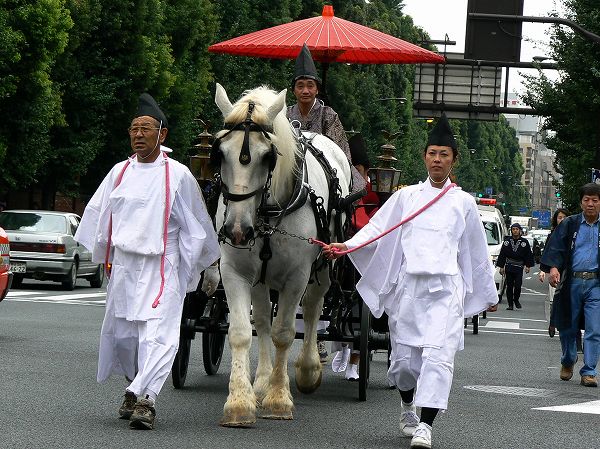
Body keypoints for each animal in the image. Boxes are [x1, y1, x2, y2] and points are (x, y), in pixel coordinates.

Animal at [213, 82, 352, 426]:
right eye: (219, 153)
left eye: (268, 157)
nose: (237, 230)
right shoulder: (235, 271)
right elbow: (242, 331)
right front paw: (240, 401)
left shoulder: (296, 276)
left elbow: (285, 333)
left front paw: (279, 399)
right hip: (261, 277)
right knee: (263, 318)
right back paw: (261, 381)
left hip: (324, 265)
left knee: (314, 308)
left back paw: (307, 369)